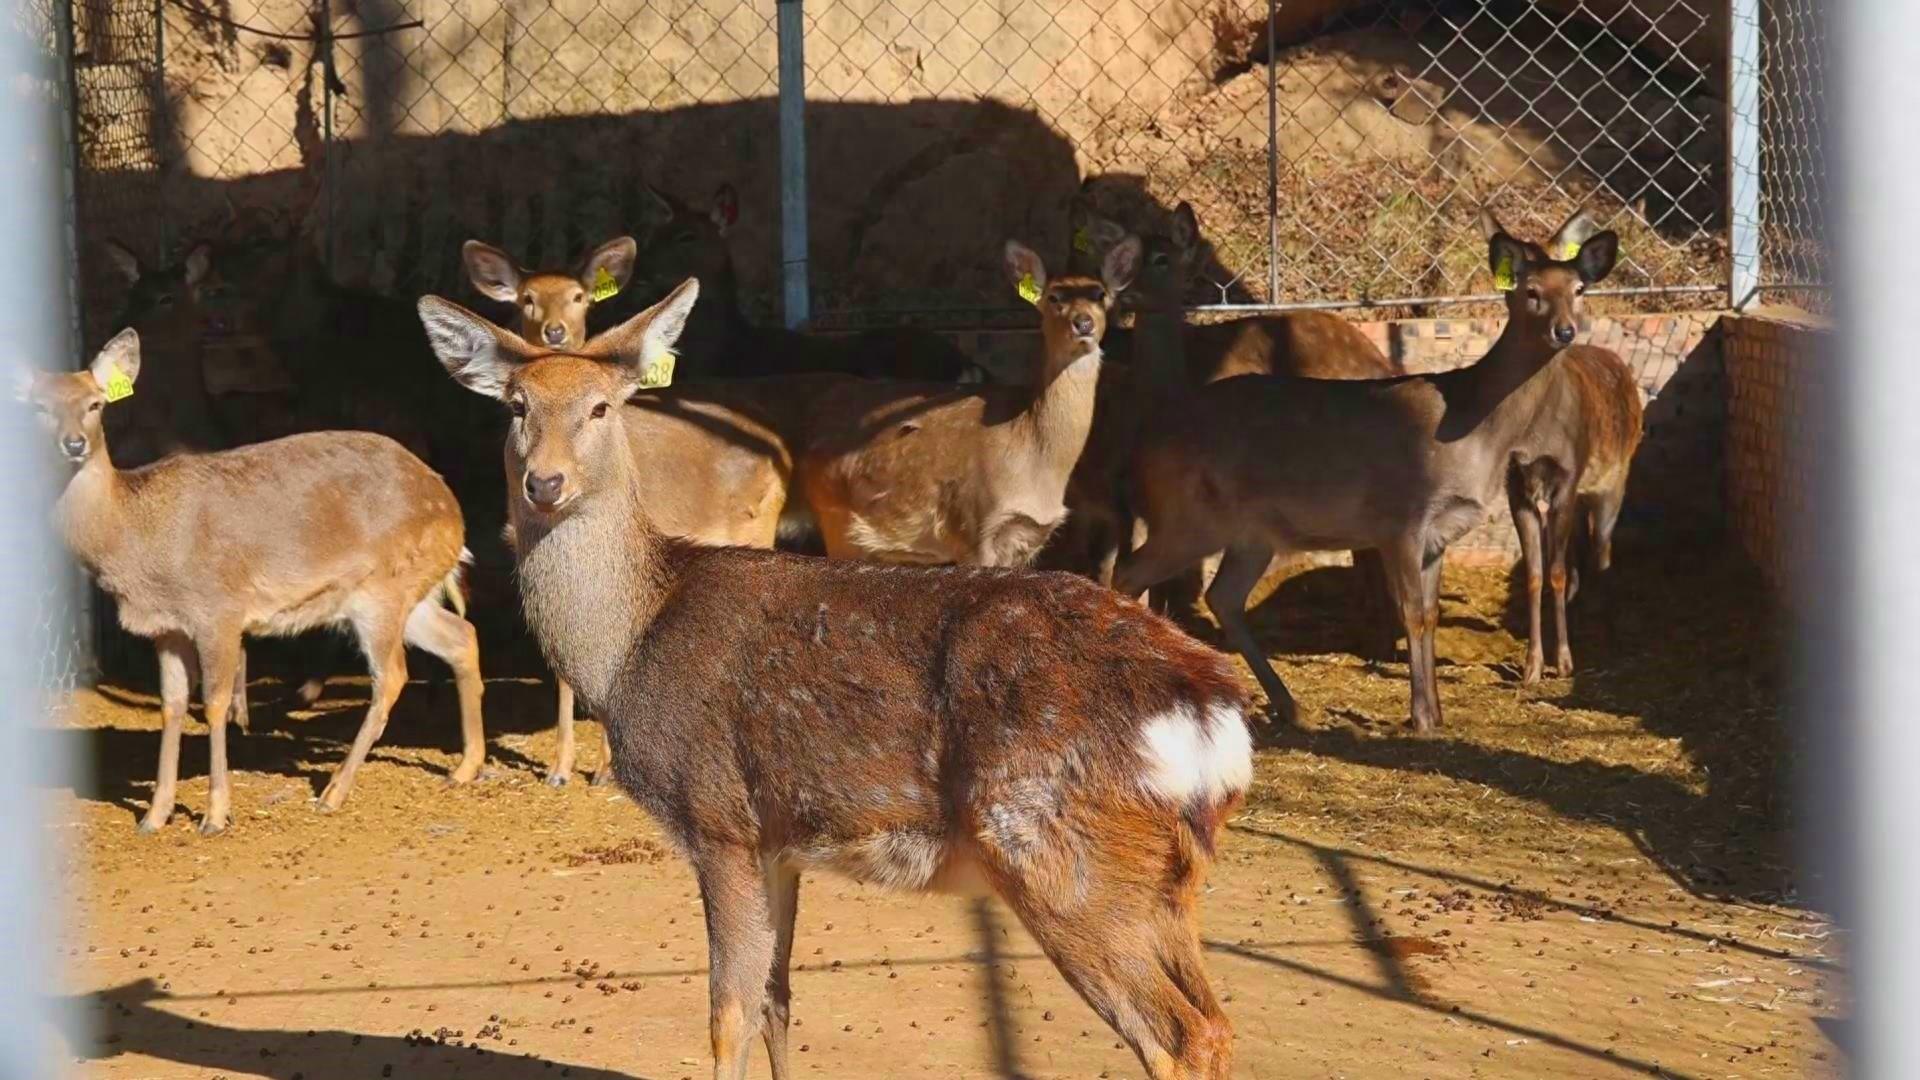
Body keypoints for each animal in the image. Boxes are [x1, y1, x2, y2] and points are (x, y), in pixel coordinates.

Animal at [20, 328, 487, 834]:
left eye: (95, 404)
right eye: (39, 407)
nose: (73, 445)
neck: (136, 541)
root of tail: (455, 513)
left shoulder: (218, 610)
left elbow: (215, 704)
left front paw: (215, 814)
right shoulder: (166, 628)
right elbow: (171, 705)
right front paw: (155, 814)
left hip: (382, 589)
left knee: (393, 676)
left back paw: (334, 791)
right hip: (410, 593)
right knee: (462, 636)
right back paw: (465, 767)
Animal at [422, 276, 1251, 1076]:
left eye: (600, 407)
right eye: (516, 406)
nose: (545, 483)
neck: (628, 648)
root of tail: (1213, 714)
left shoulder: (718, 818)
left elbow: (726, 1016)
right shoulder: (780, 843)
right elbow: (777, 1004)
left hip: (1058, 852)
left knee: (1178, 1035)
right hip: (1166, 880)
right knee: (1215, 1022)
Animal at [1113, 210, 1620, 730]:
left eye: (1579, 289)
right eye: (1530, 290)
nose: (1565, 331)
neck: (1472, 429)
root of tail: (1143, 446)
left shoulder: (1441, 532)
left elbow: (1432, 614)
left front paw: (1437, 712)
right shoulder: (1401, 519)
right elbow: (1412, 612)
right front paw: (1421, 717)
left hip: (1252, 534)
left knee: (1223, 597)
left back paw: (1291, 705)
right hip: (1190, 517)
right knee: (1129, 573)